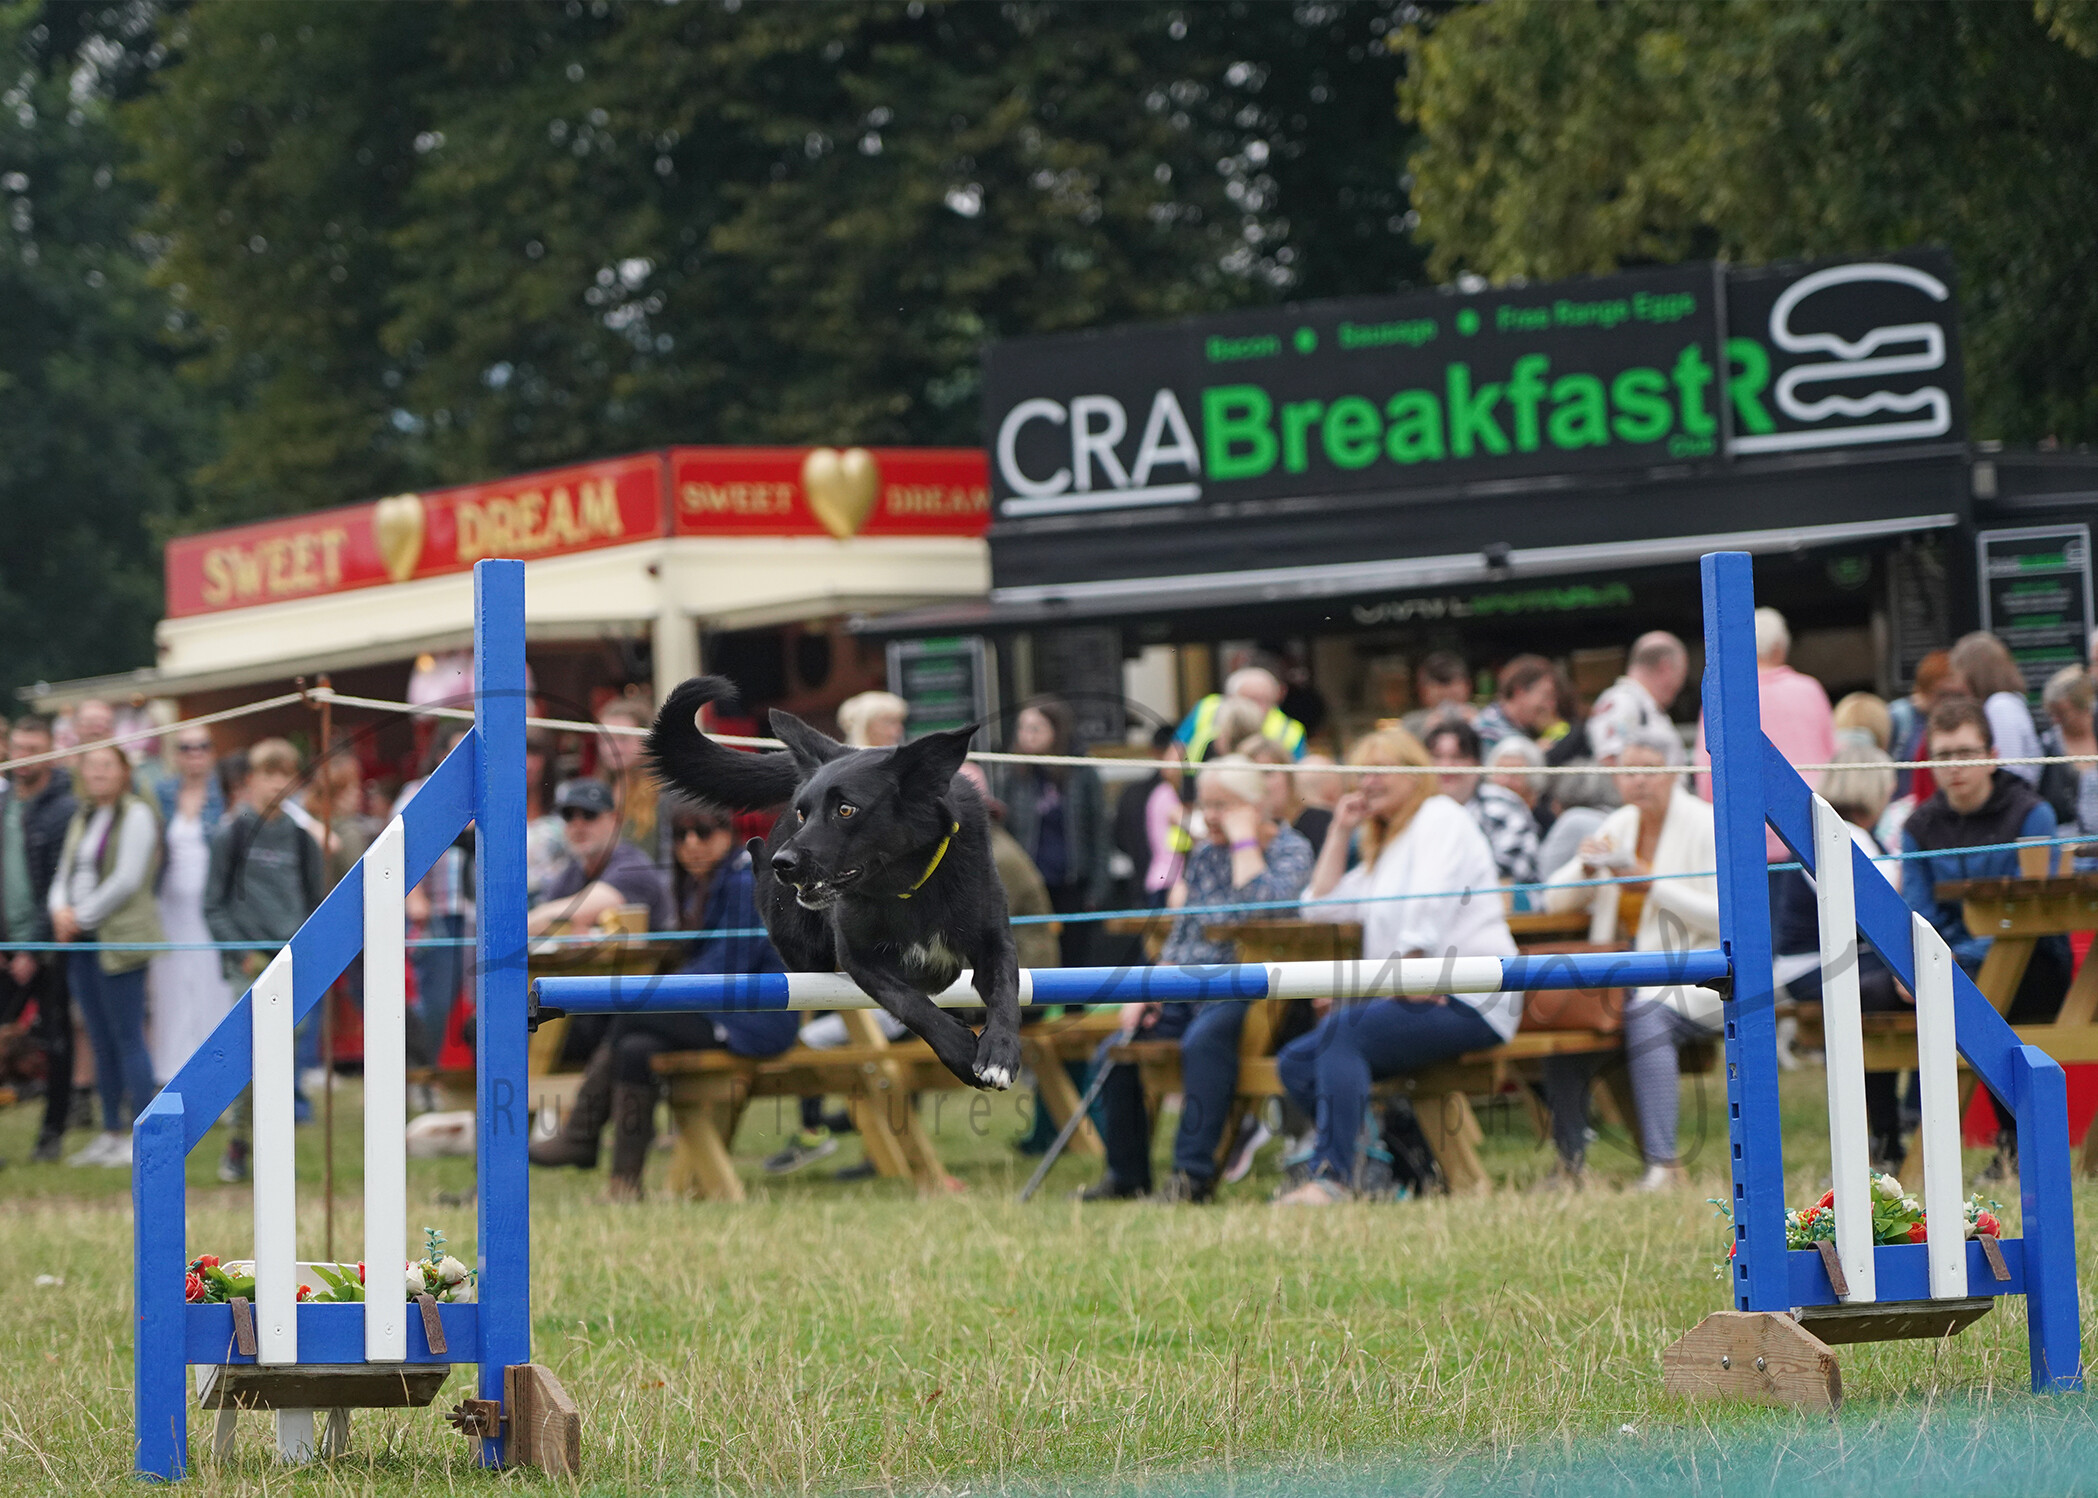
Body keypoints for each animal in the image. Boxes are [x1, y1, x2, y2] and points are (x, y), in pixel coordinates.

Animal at [646, 675, 1023, 1082]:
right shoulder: (858, 957)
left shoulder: (994, 941)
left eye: (846, 810)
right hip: (802, 950)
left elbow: (1007, 990)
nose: (783, 863)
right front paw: (958, 1048)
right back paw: (756, 853)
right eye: (802, 813)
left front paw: (1000, 1052)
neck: (908, 887)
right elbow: (909, 1002)